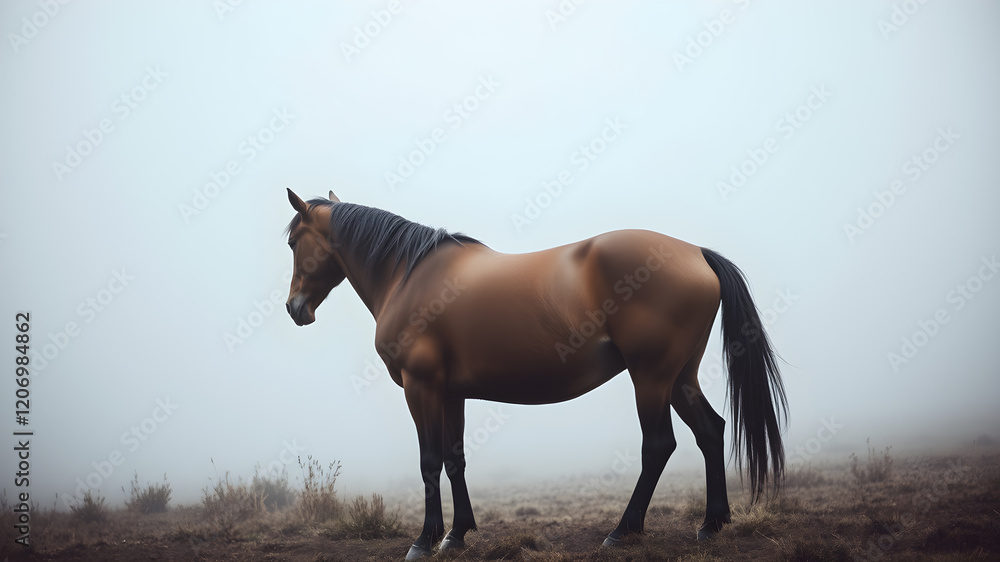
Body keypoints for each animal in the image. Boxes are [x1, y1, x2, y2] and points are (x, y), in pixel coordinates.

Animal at [283, 189, 787, 559]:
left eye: (292, 242)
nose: (294, 308)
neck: (409, 278)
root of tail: (697, 254)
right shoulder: (451, 394)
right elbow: (454, 459)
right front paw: (456, 535)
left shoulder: (420, 387)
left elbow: (429, 461)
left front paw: (424, 541)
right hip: (680, 376)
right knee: (710, 430)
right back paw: (711, 524)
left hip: (651, 378)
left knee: (659, 445)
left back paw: (622, 531)